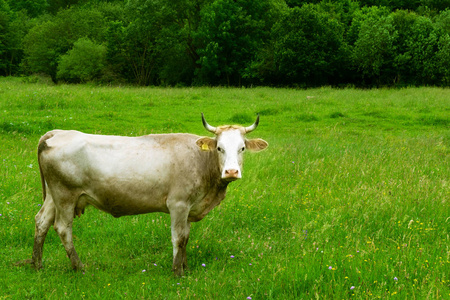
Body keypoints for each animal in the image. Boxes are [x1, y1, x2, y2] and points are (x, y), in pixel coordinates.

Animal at [25, 113, 268, 276]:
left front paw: (185, 267)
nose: (231, 171)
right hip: (65, 195)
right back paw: (79, 267)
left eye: (242, 148)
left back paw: (37, 264)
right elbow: (178, 238)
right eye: (219, 148)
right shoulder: (178, 204)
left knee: (42, 221)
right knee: (62, 228)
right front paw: (177, 272)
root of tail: (58, 133)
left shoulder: (189, 207)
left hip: (54, 196)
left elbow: (186, 238)